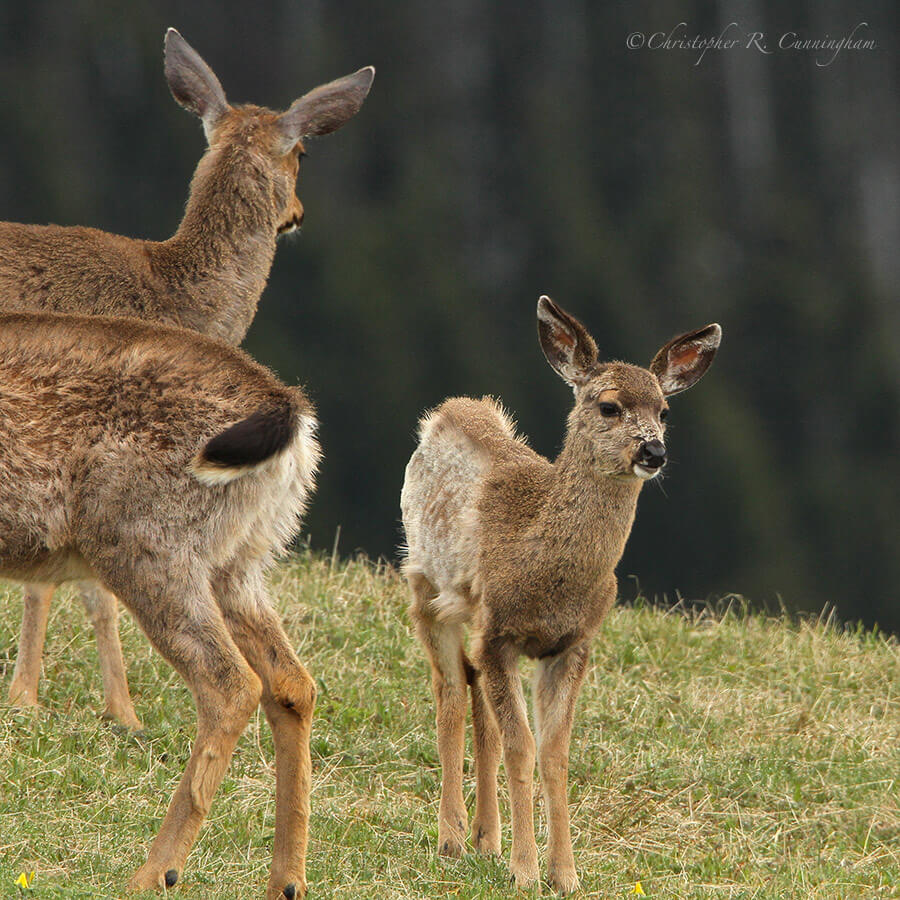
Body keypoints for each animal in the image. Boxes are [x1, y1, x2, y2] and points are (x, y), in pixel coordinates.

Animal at [0, 312, 322, 900]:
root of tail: (293, 414)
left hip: (145, 541)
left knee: (230, 683)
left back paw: (153, 872)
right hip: (239, 562)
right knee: (291, 683)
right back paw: (286, 880)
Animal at [404, 298, 720, 892]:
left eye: (665, 410)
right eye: (609, 406)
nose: (654, 451)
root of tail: (449, 410)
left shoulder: (573, 643)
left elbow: (554, 753)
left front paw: (566, 874)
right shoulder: (501, 633)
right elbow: (522, 748)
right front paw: (527, 872)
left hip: (473, 617)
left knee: (477, 702)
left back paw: (485, 839)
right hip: (428, 588)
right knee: (450, 693)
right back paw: (451, 838)